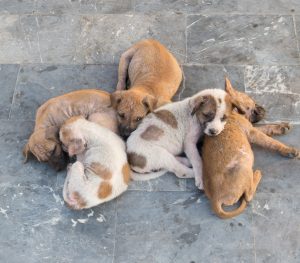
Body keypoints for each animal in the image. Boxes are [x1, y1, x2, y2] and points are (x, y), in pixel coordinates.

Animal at [202, 79, 300, 220]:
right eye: (251, 101)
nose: (263, 108)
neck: (234, 111)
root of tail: (215, 199)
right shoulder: (253, 133)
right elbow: (271, 142)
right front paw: (288, 150)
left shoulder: (253, 129)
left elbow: (267, 128)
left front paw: (281, 127)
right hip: (244, 164)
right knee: (248, 196)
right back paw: (257, 175)